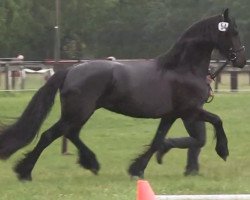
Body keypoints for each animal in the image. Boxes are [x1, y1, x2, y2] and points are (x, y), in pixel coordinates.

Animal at [0, 8, 245, 180]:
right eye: (234, 32)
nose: (241, 61)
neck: (182, 68)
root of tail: (71, 70)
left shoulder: (172, 115)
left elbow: (159, 140)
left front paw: (138, 168)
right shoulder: (190, 110)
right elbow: (218, 120)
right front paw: (223, 150)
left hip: (81, 113)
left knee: (71, 133)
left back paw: (91, 163)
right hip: (78, 112)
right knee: (50, 135)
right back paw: (25, 172)